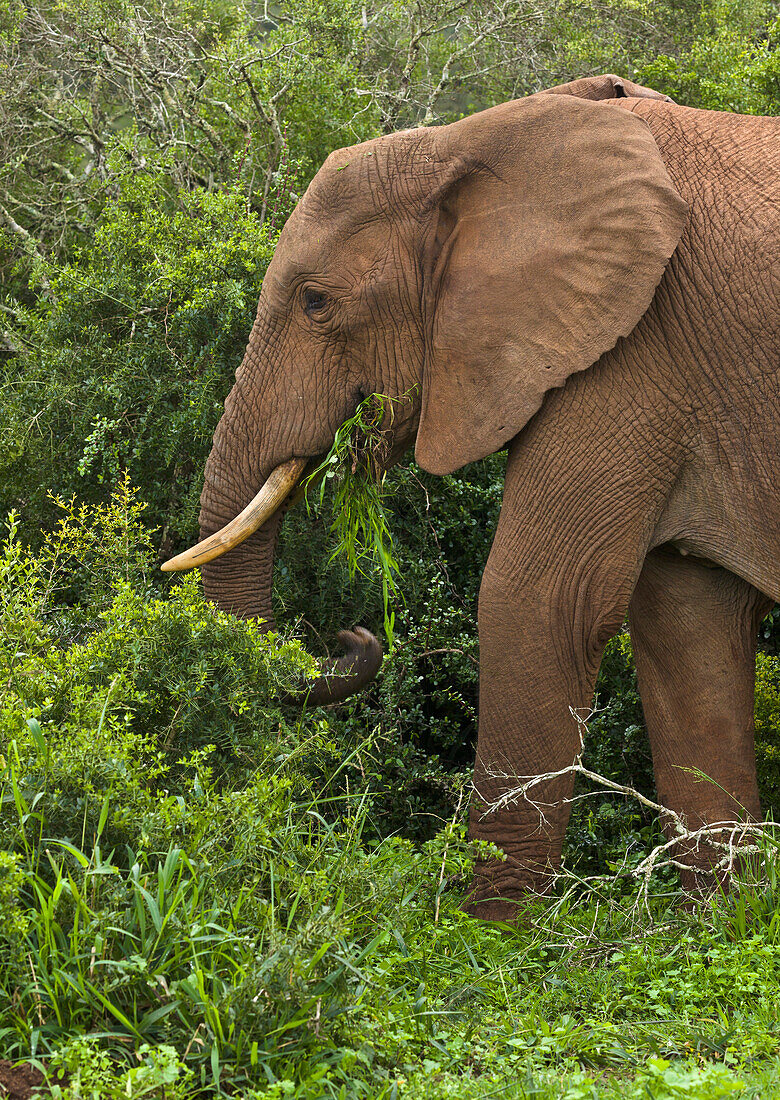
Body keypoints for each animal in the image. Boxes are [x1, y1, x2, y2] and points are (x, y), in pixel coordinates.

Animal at [163, 75, 778, 919]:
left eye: (316, 304)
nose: (353, 635)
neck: (469, 143)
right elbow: (690, 625)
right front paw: (722, 923)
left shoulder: (632, 349)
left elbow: (541, 603)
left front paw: (483, 933)